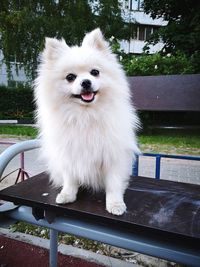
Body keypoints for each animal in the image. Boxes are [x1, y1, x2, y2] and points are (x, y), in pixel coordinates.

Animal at [34, 28, 140, 216]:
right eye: (70, 77)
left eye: (95, 72)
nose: (86, 82)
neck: (85, 115)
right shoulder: (69, 153)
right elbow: (70, 179)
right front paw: (67, 195)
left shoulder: (113, 155)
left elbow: (113, 183)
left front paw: (115, 204)